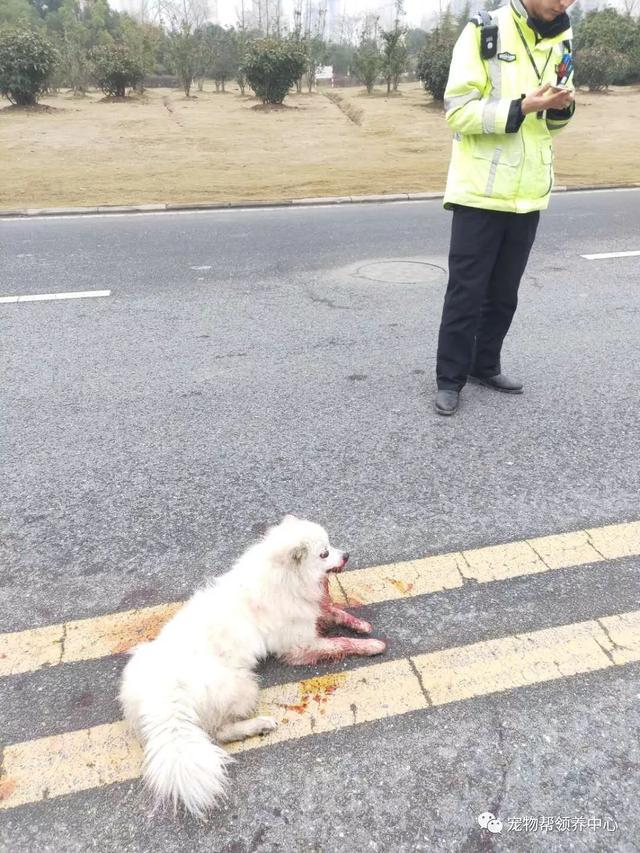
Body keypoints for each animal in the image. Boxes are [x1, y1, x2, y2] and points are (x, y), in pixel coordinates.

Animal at [120, 516, 384, 816]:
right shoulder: (298, 646)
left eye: (331, 546)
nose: (347, 555)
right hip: (242, 685)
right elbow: (340, 644)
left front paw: (360, 624)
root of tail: (162, 695)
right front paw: (371, 645)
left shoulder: (310, 614)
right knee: (220, 732)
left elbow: (335, 612)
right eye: (324, 553)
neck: (284, 578)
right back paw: (260, 725)